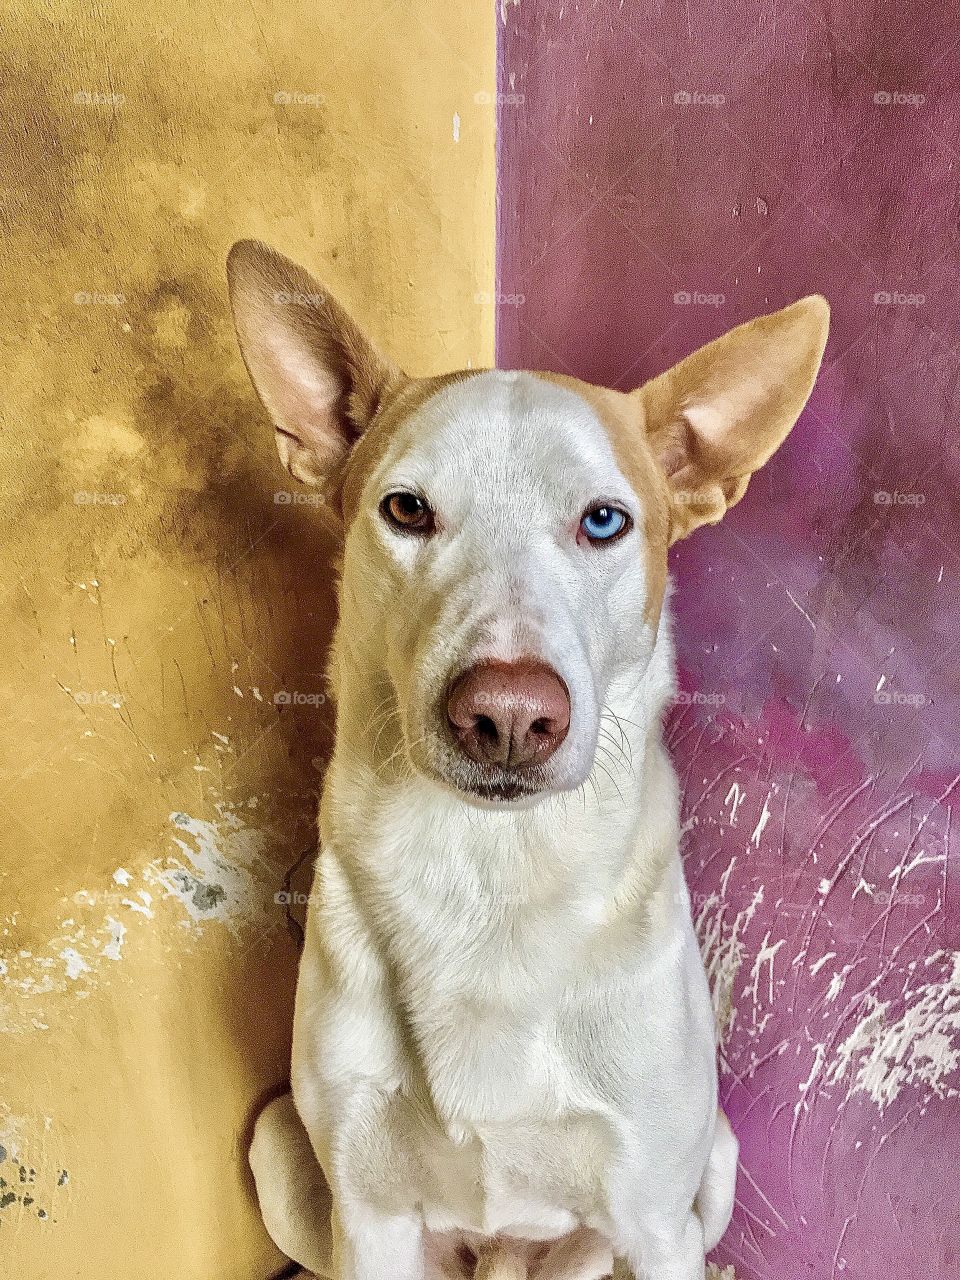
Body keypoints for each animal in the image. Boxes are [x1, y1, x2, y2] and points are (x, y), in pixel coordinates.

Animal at [229, 240, 829, 1280]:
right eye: (406, 509)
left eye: (604, 522)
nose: (508, 715)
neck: (493, 879)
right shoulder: (370, 1215)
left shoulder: (656, 1222)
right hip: (280, 1154)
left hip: (709, 1170)